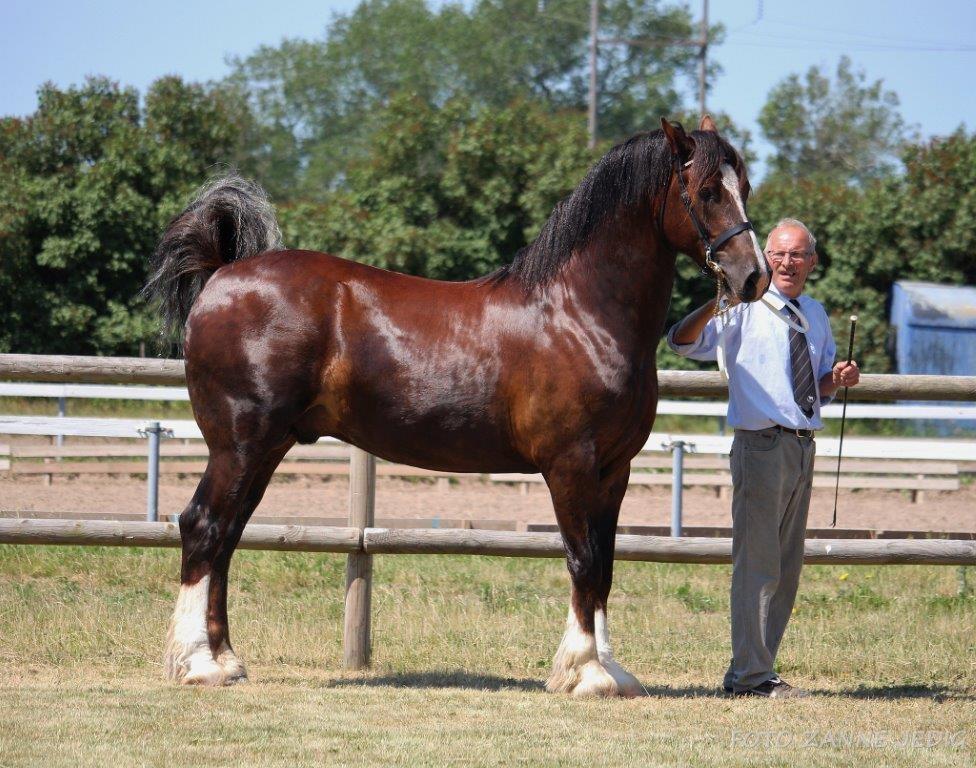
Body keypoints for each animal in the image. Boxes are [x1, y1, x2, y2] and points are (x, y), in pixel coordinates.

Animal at [145, 114, 772, 696]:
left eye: (744, 184)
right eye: (707, 191)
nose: (755, 277)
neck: (580, 312)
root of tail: (224, 273)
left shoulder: (613, 470)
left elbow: (606, 566)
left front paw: (610, 669)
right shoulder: (570, 465)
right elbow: (583, 560)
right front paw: (585, 673)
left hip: (266, 449)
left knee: (227, 537)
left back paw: (228, 660)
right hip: (238, 444)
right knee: (203, 527)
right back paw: (198, 664)